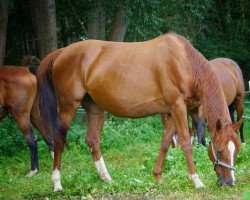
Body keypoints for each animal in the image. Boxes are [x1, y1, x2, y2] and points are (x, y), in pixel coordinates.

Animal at [37, 33, 242, 192]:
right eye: (220, 150)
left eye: (237, 149)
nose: (230, 182)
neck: (184, 62)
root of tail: (62, 52)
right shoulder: (178, 107)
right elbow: (185, 142)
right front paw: (197, 180)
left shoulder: (171, 112)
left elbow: (165, 143)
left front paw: (158, 177)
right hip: (68, 106)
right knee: (59, 140)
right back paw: (57, 184)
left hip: (94, 108)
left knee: (93, 140)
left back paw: (106, 178)